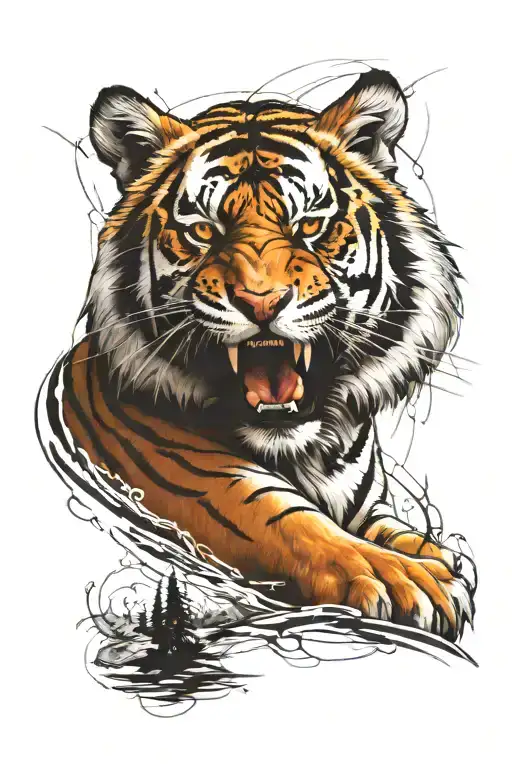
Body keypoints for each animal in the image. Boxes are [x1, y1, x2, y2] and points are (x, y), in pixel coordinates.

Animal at [41, 69, 475, 643]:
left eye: (309, 225)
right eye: (204, 231)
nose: (261, 301)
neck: (312, 451)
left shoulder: (369, 504)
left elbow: (401, 531)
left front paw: (438, 560)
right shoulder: (206, 487)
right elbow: (297, 525)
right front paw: (407, 581)